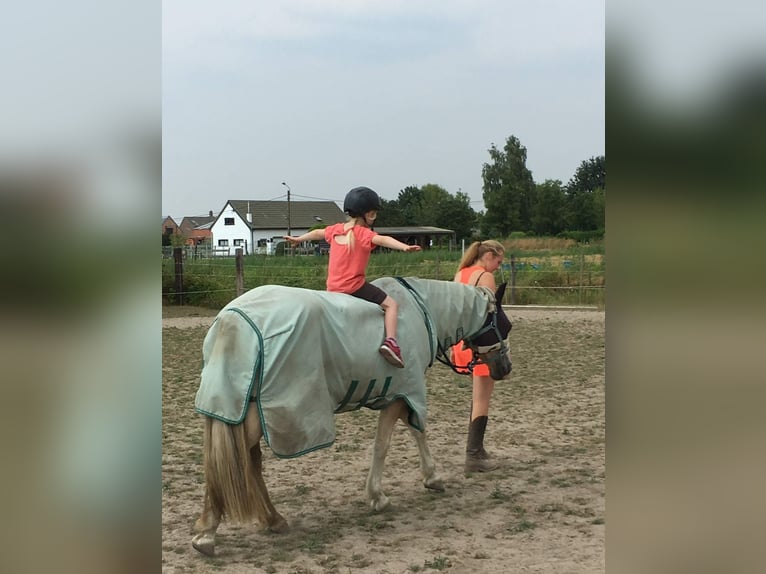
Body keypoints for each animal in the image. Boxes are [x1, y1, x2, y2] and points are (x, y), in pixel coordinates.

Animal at [192, 276, 516, 556]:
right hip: (251, 417)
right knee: (224, 462)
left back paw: (272, 519)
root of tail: (236, 319)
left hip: (238, 408)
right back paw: (207, 532)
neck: (420, 308)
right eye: (505, 324)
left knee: (247, 462)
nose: (505, 368)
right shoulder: (404, 394)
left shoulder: (400, 396)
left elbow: (413, 434)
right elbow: (393, 441)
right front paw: (382, 495)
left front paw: (428, 479)